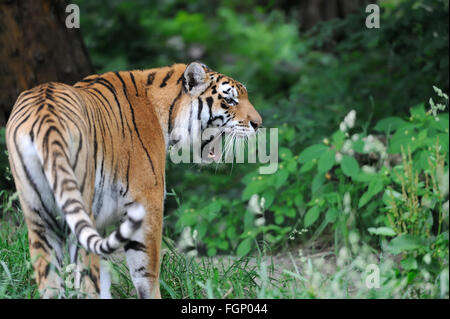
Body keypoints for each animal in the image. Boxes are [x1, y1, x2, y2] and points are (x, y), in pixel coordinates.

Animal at [4, 62, 264, 300]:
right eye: (230, 100)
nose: (258, 124)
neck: (167, 112)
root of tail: (45, 116)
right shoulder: (148, 202)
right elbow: (146, 273)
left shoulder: (101, 223)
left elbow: (106, 277)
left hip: (39, 220)